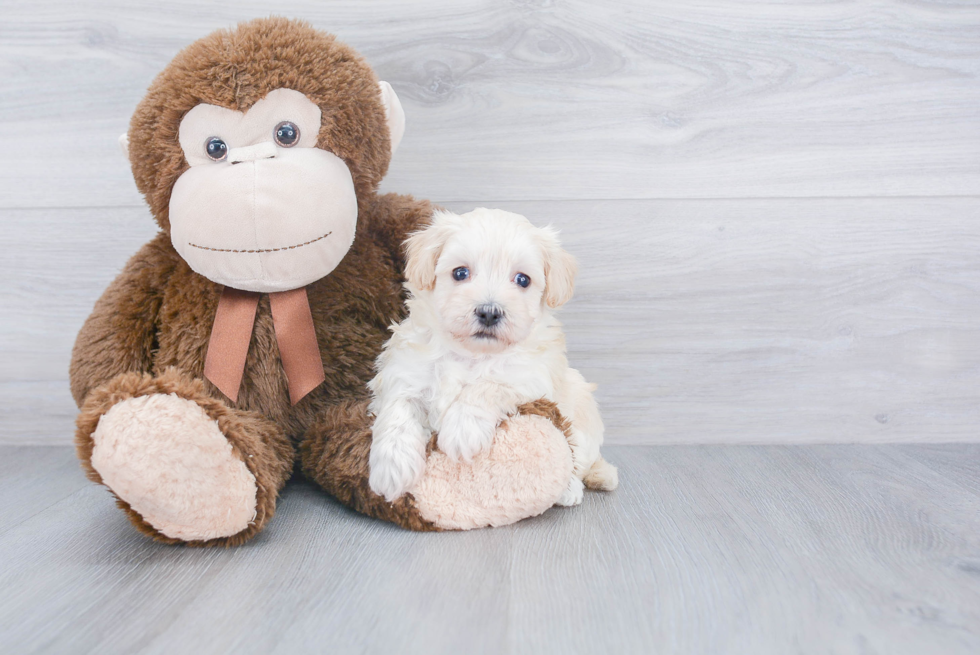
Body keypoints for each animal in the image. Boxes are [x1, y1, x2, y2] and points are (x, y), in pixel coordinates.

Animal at [368, 210, 620, 508]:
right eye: (460, 273)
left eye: (523, 280)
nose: (489, 312)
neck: (470, 354)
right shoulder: (406, 373)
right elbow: (397, 411)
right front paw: (391, 468)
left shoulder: (530, 377)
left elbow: (488, 385)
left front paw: (462, 430)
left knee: (577, 461)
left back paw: (570, 489)